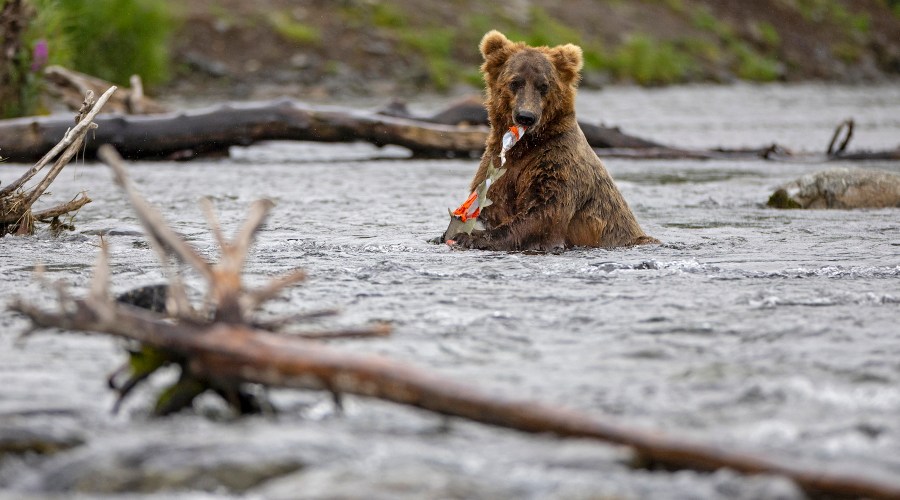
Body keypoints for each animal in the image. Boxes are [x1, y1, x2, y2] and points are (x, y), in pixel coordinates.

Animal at [444, 31, 657, 251]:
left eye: (544, 86)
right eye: (515, 82)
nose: (526, 116)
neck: (524, 146)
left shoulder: (558, 163)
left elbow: (543, 213)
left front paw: (470, 237)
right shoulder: (496, 166)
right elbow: (495, 202)